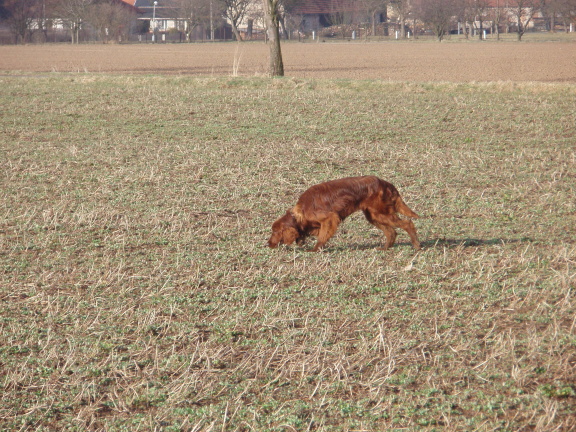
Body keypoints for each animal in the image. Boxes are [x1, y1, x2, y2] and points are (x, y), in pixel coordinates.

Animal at [268, 175, 420, 251]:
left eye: (274, 232)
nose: (268, 244)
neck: (302, 211)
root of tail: (386, 183)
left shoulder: (330, 218)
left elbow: (322, 236)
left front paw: (315, 249)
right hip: (373, 215)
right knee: (391, 232)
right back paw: (385, 248)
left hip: (380, 213)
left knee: (407, 223)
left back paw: (416, 245)